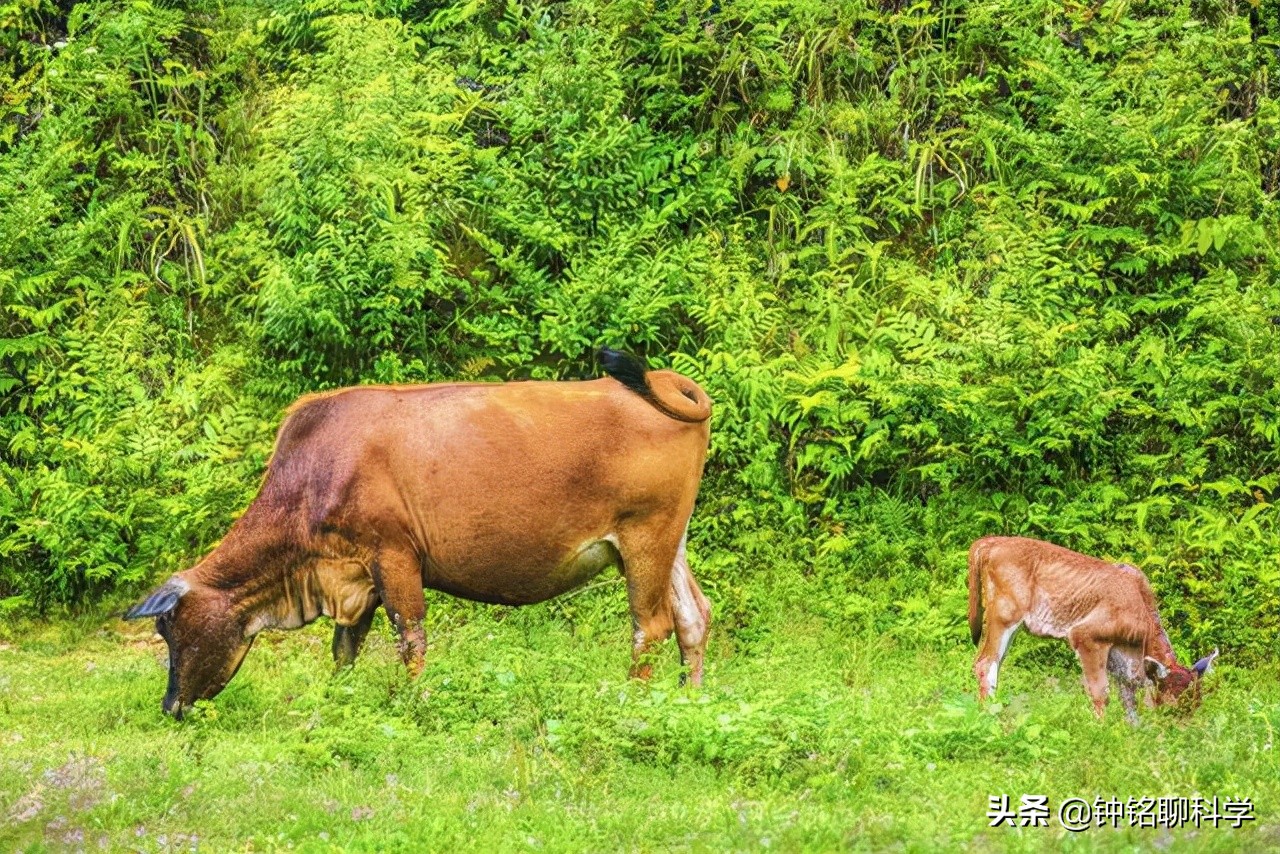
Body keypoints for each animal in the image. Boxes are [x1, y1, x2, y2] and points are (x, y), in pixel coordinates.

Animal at [124, 350, 716, 717]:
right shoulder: (355, 575)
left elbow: (410, 638)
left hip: (644, 536)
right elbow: (344, 649)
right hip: (670, 540)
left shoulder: (393, 554)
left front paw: (413, 703)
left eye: (170, 630)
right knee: (693, 615)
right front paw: (338, 701)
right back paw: (690, 699)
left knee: (651, 625)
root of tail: (664, 379)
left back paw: (632, 702)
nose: (169, 706)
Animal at [962, 537, 1213, 727]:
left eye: (1197, 704)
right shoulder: (1087, 637)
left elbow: (1129, 699)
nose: (1179, 735)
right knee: (985, 663)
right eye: (1171, 708)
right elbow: (1101, 691)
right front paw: (1101, 729)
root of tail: (991, 541)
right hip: (1004, 614)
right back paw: (989, 715)